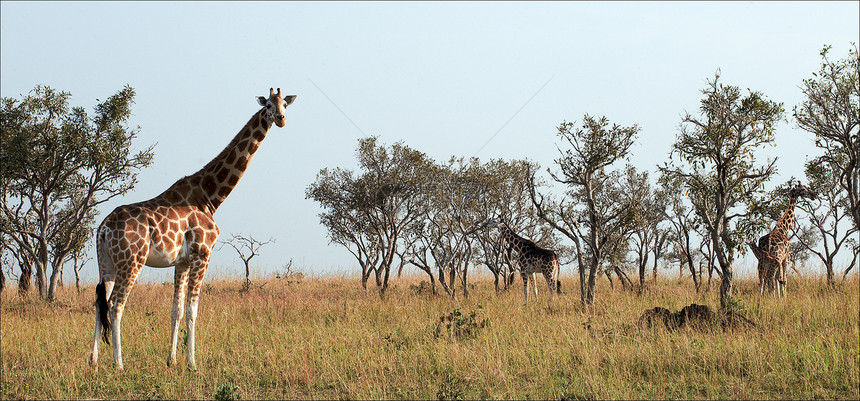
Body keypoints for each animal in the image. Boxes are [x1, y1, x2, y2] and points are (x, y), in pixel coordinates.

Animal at [88, 87, 296, 368]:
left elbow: (175, 310)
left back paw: (94, 361)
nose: (281, 119)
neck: (210, 196)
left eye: (285, 104)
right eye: (268, 106)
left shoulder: (182, 262)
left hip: (107, 263)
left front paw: (172, 360)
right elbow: (192, 310)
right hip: (131, 261)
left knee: (99, 303)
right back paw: (119, 364)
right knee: (115, 305)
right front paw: (192, 363)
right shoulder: (202, 254)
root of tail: (103, 228)